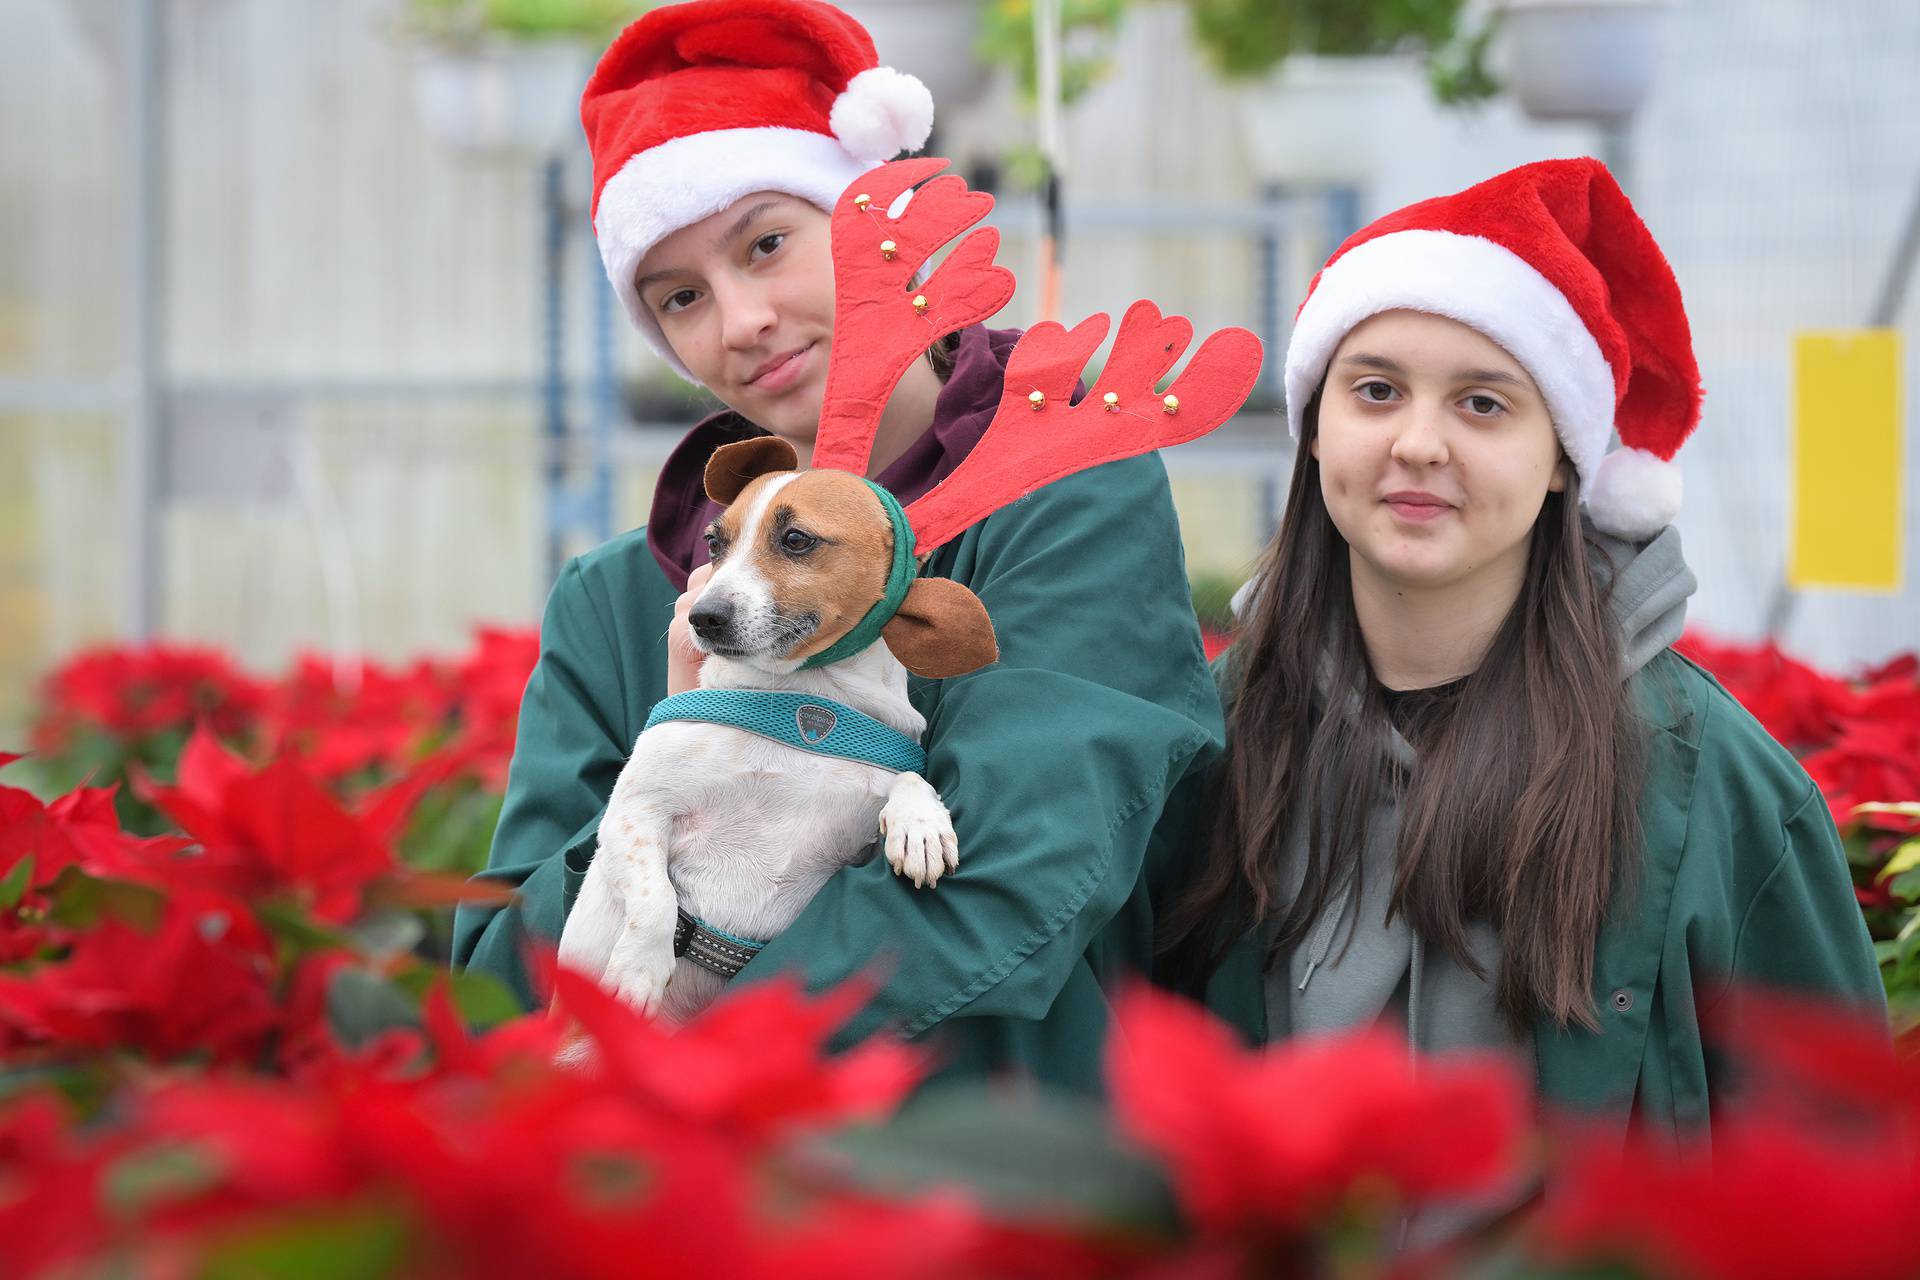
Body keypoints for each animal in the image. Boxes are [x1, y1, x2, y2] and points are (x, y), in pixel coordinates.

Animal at [556, 435, 998, 1028]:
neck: (798, 704)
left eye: (795, 539)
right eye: (713, 543)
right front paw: (638, 971)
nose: (702, 616)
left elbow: (908, 778)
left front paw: (920, 825)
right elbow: (655, 900)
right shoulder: (635, 813)